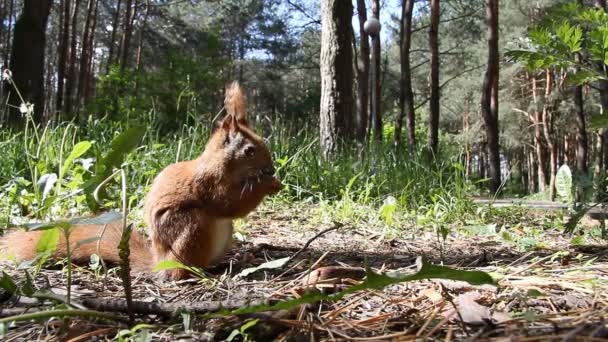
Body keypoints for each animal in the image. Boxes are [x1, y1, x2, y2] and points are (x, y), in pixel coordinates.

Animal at [0, 81, 282, 280]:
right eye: (249, 151)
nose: (270, 169)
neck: (226, 166)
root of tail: (160, 263)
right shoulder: (208, 183)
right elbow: (227, 203)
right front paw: (270, 184)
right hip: (192, 227)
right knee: (180, 271)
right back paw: (194, 273)